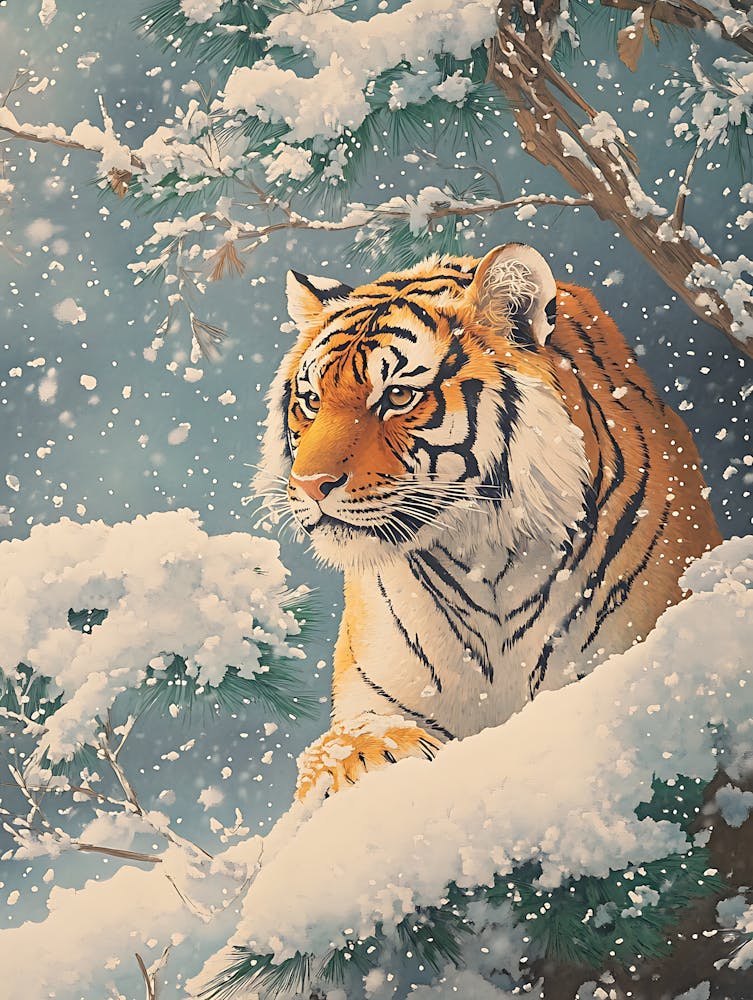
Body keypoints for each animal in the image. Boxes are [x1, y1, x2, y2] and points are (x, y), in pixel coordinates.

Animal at [254, 243, 722, 800]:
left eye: (397, 397)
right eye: (311, 402)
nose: (308, 485)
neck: (486, 558)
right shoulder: (375, 692)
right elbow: (340, 740)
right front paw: (368, 754)